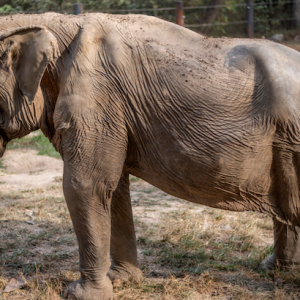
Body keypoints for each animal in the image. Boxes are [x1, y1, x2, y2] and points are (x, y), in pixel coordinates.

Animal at [0, 11, 300, 300]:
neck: (50, 22)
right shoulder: (113, 111)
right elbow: (114, 188)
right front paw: (121, 281)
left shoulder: (96, 98)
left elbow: (86, 185)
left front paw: (79, 294)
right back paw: (273, 269)